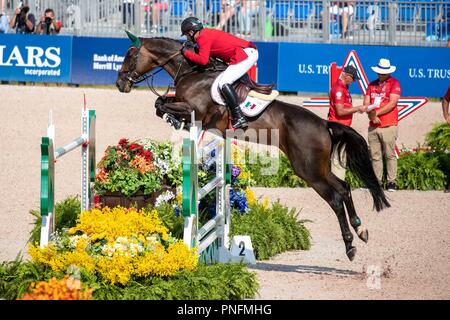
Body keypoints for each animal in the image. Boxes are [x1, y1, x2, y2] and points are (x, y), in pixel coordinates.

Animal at [117, 33, 390, 262]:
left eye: (130, 55)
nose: (120, 84)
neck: (191, 72)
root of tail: (324, 124)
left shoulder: (195, 110)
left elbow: (162, 104)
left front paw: (173, 119)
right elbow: (160, 103)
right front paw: (172, 119)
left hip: (308, 170)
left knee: (334, 198)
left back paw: (350, 246)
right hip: (318, 167)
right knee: (343, 188)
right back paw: (360, 229)